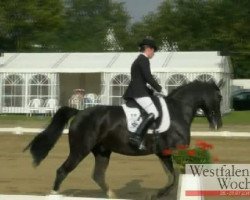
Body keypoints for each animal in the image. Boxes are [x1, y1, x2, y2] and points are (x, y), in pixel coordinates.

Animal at [23, 79, 223, 198]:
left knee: (98, 175)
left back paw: (113, 196)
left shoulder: (163, 152)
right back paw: (54, 194)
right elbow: (173, 178)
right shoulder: (172, 150)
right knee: (62, 171)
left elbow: (171, 177)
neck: (177, 110)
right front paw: (155, 195)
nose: (218, 124)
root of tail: (79, 112)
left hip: (102, 151)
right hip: (80, 150)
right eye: (220, 97)